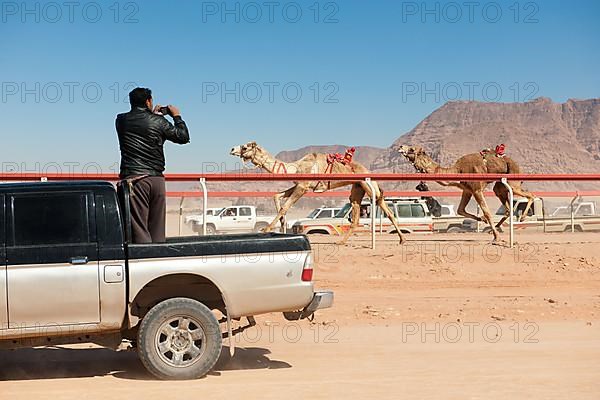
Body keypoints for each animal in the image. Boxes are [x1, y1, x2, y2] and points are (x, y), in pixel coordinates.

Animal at [230, 142, 404, 245]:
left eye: (245, 147)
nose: (232, 149)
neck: (295, 168)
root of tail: (368, 170)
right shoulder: (300, 185)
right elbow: (276, 196)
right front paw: (281, 224)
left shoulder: (303, 187)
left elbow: (285, 207)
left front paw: (265, 230)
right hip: (357, 188)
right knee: (358, 212)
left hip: (367, 184)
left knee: (383, 206)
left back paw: (401, 239)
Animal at [398, 145, 536, 244]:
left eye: (411, 149)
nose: (401, 147)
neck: (458, 170)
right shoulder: (467, 190)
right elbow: (460, 210)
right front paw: (482, 219)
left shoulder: (476, 189)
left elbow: (486, 211)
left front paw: (496, 238)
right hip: (500, 186)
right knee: (507, 207)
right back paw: (496, 227)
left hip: (513, 179)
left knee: (530, 195)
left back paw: (522, 218)